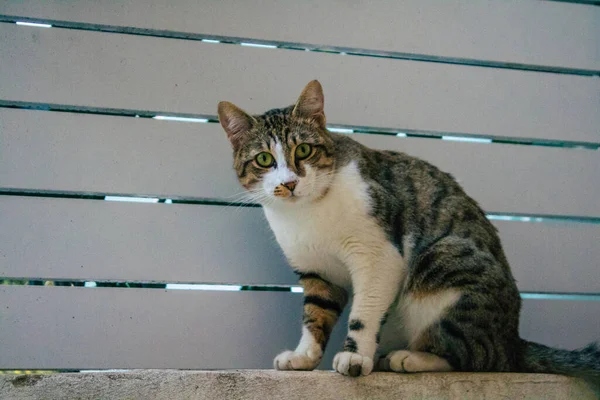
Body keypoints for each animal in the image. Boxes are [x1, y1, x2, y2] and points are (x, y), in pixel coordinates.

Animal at [218, 80, 600, 388]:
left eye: (304, 150)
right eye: (264, 159)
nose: (289, 183)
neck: (307, 214)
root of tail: (513, 337)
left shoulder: (380, 256)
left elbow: (364, 311)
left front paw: (355, 357)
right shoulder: (316, 271)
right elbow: (315, 313)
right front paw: (304, 357)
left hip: (444, 257)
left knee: (478, 356)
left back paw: (409, 358)